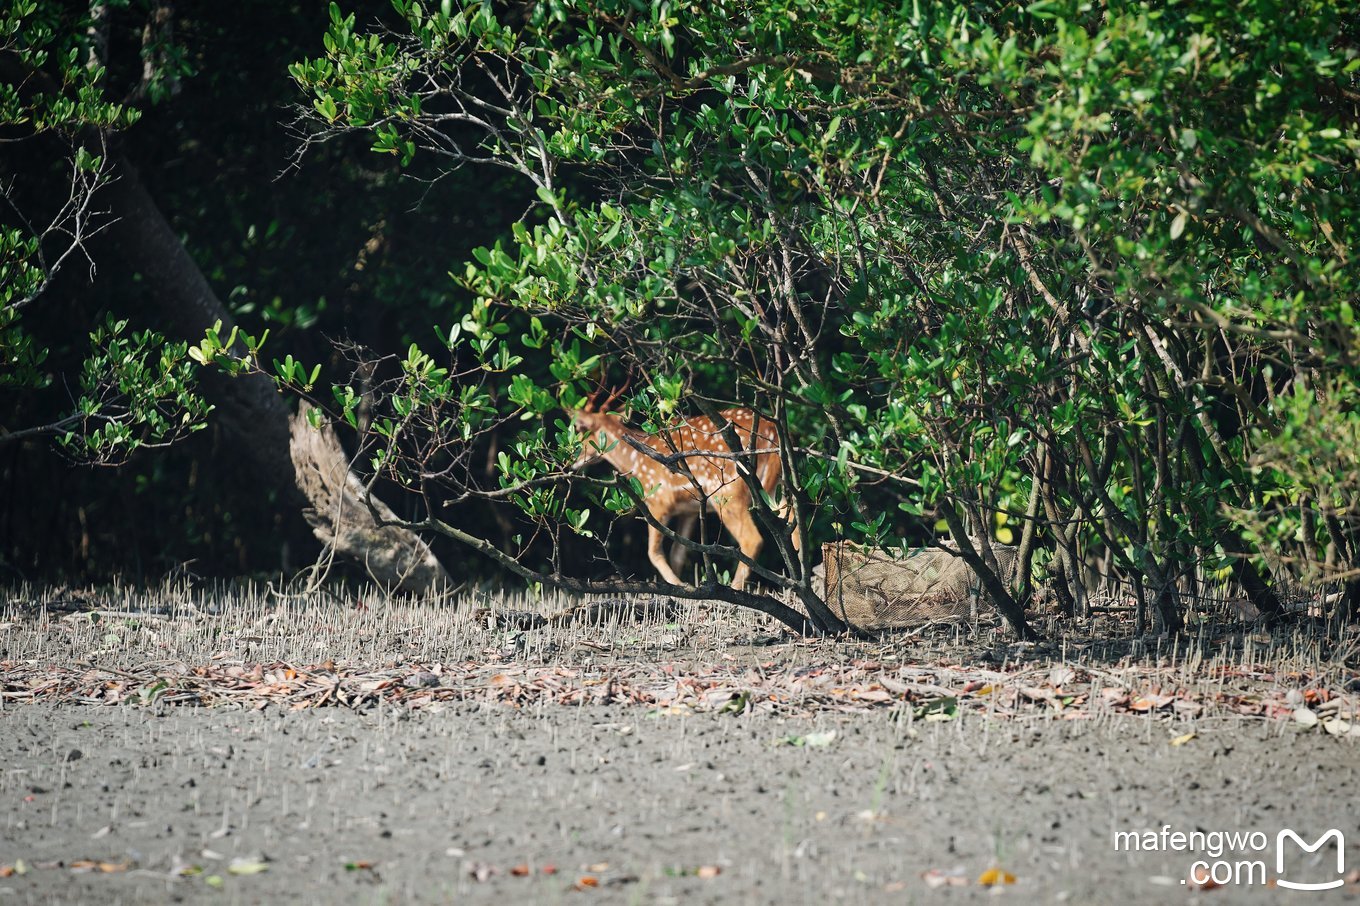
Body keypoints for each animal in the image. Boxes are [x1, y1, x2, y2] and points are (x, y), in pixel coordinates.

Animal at [571, 394, 794, 584]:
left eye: (580, 428)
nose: (572, 460)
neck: (634, 461)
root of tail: (771, 430)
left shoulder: (658, 502)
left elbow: (654, 553)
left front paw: (678, 585)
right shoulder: (689, 511)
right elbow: (678, 553)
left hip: (729, 491)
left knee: (752, 539)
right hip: (777, 485)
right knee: (792, 527)